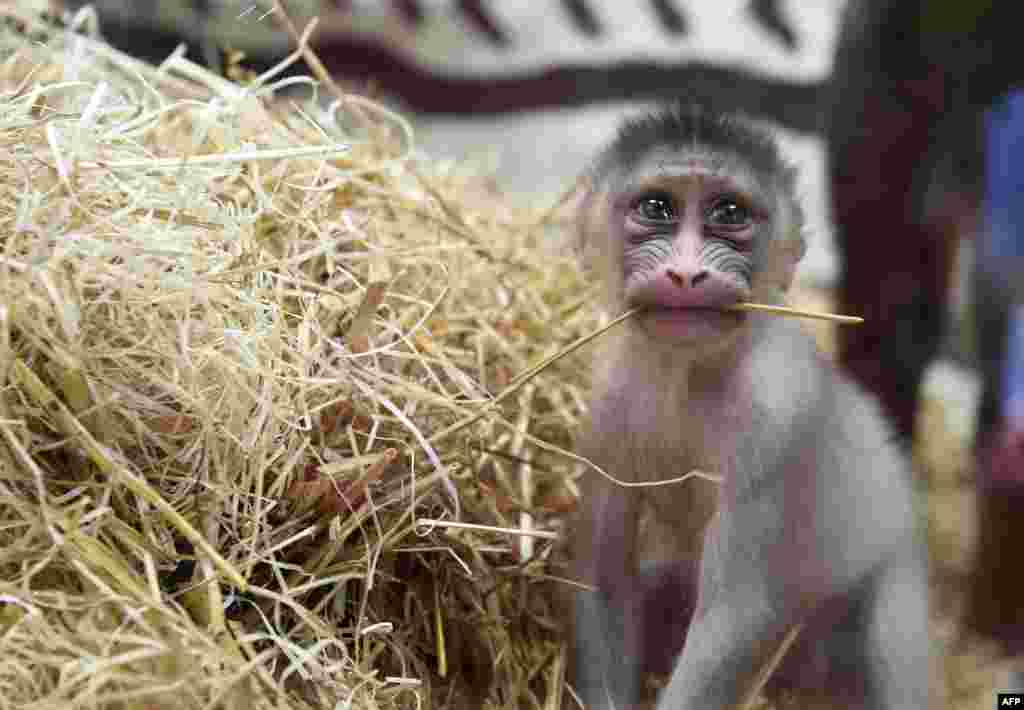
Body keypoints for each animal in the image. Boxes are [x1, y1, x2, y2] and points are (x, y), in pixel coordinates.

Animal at [573, 100, 933, 708]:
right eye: (656, 208)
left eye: (729, 213)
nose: (685, 273)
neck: (688, 371)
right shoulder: (609, 394)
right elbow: (604, 579)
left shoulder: (776, 410)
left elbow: (734, 614)